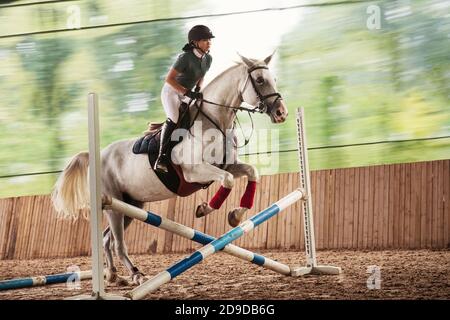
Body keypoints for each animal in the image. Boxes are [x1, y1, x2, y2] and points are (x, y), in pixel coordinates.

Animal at [50, 52, 288, 284]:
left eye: (274, 79)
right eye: (260, 80)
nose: (281, 113)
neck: (214, 122)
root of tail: (96, 156)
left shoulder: (228, 165)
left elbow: (251, 172)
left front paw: (236, 215)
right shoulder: (194, 172)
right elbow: (228, 180)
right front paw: (205, 209)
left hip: (131, 204)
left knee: (107, 238)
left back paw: (114, 275)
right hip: (113, 204)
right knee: (118, 243)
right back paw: (135, 274)